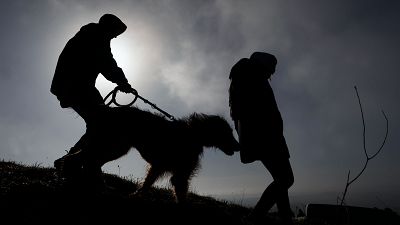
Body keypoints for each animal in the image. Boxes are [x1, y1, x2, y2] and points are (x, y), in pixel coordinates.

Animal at [62, 106, 239, 202]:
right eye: (229, 133)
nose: (239, 147)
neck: (193, 134)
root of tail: (106, 111)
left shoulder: (158, 167)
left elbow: (147, 184)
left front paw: (136, 195)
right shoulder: (180, 174)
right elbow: (181, 195)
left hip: (113, 147)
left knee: (88, 159)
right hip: (114, 146)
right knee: (86, 159)